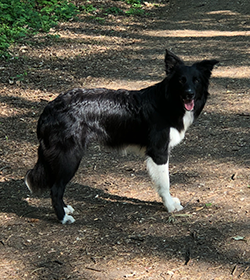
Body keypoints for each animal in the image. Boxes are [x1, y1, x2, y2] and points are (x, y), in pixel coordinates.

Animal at [24, 49, 218, 222]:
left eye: (196, 81)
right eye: (180, 81)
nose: (189, 94)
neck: (168, 102)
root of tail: (49, 108)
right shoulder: (158, 152)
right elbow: (165, 183)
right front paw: (170, 206)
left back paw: (65, 209)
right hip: (69, 156)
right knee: (56, 189)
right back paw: (63, 218)